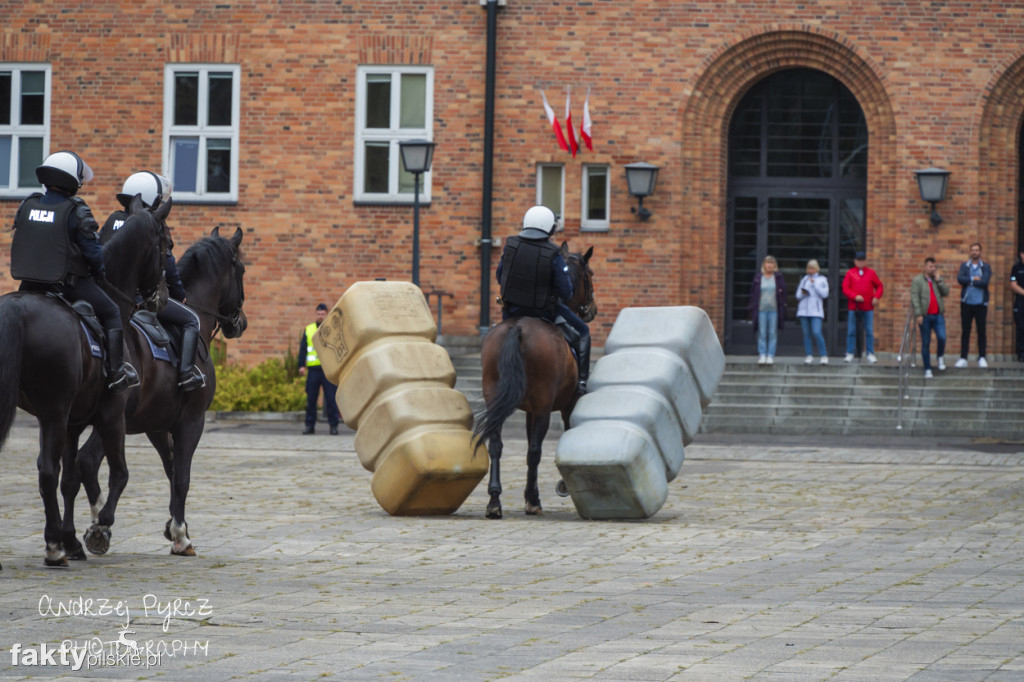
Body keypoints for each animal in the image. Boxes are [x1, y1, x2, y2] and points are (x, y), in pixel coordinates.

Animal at [0, 193, 169, 565]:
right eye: (168, 244)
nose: (162, 297)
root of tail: (17, 308)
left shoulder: (74, 423)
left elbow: (71, 480)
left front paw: (73, 539)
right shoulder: (111, 415)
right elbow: (119, 473)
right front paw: (98, 528)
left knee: (54, 474)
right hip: (53, 411)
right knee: (47, 471)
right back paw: (53, 549)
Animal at [75, 225, 247, 557]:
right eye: (242, 270)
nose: (240, 323)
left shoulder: (156, 425)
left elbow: (170, 469)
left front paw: (175, 526)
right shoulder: (191, 422)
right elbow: (182, 477)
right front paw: (180, 534)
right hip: (111, 420)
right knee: (88, 460)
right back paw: (100, 524)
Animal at [468, 241, 593, 518]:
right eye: (590, 275)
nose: (592, 310)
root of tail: (519, 328)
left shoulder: (529, 411)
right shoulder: (565, 406)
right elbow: (561, 436)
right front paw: (558, 487)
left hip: (496, 397)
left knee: (496, 445)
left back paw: (494, 501)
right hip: (545, 405)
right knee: (535, 450)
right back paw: (532, 501)